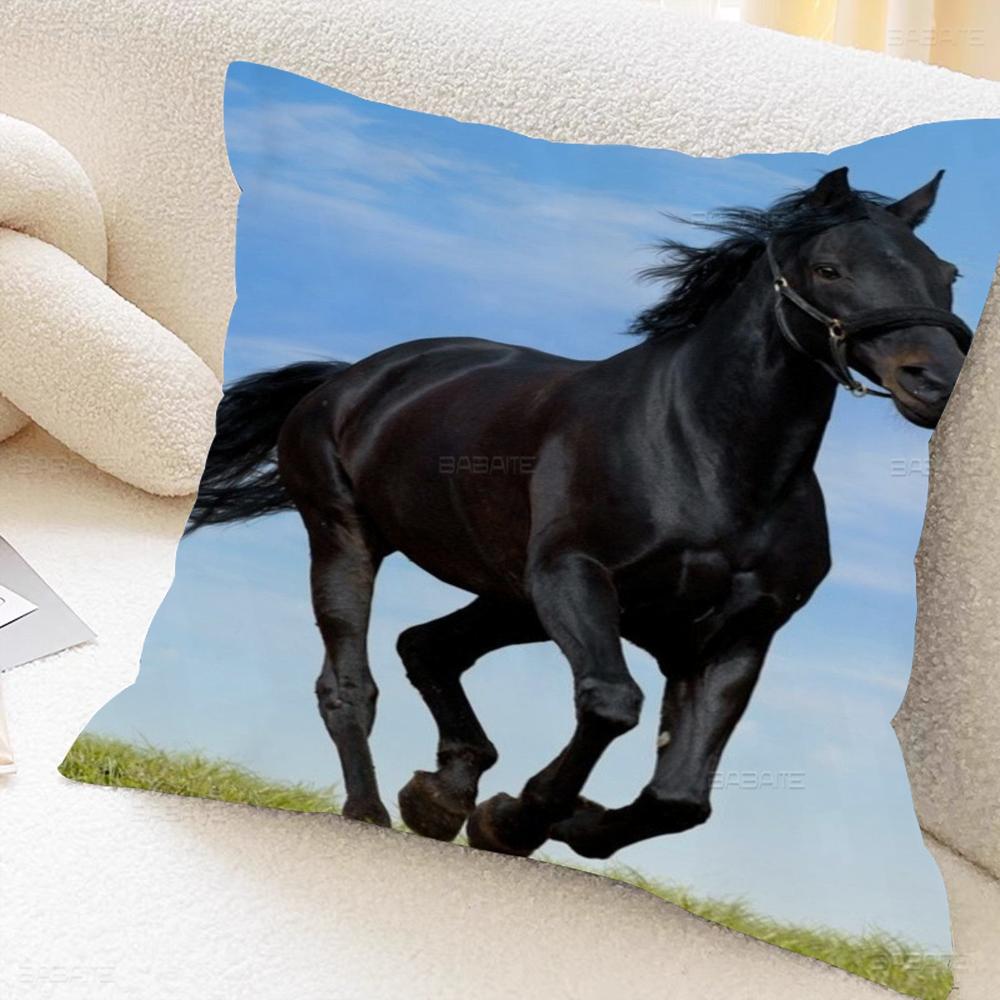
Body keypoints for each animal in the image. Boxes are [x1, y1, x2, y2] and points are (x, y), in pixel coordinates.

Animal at [187, 166, 971, 859]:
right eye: (831, 269)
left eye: (948, 274)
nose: (934, 382)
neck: (706, 457)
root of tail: (350, 379)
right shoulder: (575, 577)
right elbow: (611, 703)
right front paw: (517, 819)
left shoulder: (736, 635)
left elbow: (682, 797)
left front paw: (551, 820)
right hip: (349, 539)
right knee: (350, 683)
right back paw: (374, 812)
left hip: (512, 599)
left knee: (427, 647)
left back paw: (441, 796)